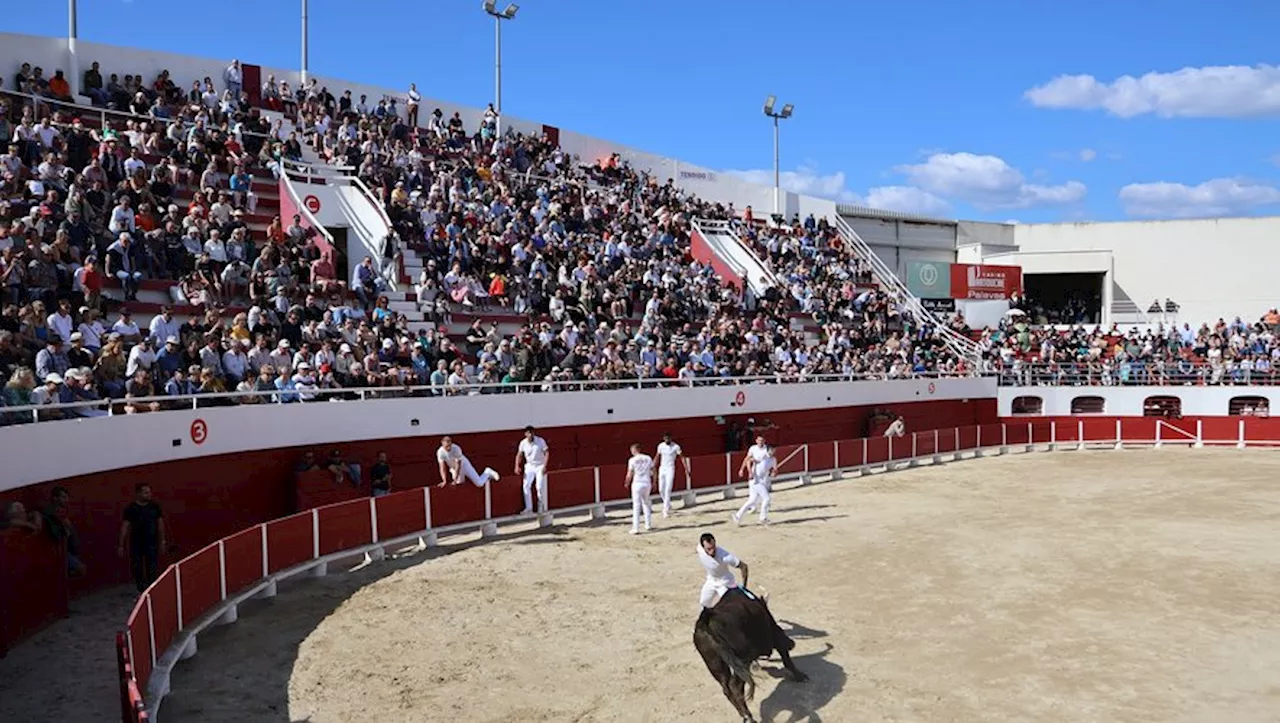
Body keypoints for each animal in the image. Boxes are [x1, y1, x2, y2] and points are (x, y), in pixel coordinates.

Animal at [696, 588, 803, 716]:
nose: (792, 643)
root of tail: (707, 620)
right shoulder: (773, 633)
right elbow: (785, 654)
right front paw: (800, 676)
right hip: (743, 659)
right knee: (735, 686)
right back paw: (748, 715)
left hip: (714, 662)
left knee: (726, 687)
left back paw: (745, 714)